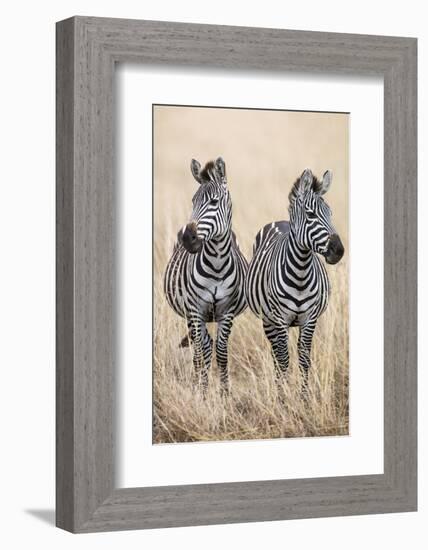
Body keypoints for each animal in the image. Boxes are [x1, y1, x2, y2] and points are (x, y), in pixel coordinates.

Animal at [164, 157, 247, 394]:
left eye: (214, 202)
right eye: (193, 201)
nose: (187, 238)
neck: (217, 264)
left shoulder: (227, 312)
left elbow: (221, 351)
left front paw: (224, 393)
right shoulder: (195, 310)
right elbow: (203, 351)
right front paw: (202, 392)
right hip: (190, 316)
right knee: (199, 349)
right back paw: (196, 384)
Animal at [244, 169, 344, 396]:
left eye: (331, 213)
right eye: (311, 214)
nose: (339, 251)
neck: (300, 272)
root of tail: (281, 221)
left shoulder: (309, 319)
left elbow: (304, 359)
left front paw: (304, 398)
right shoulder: (280, 318)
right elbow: (283, 361)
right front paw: (283, 399)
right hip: (268, 320)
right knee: (276, 354)